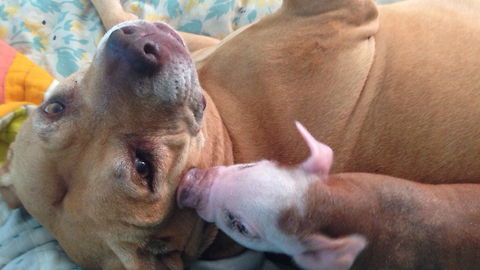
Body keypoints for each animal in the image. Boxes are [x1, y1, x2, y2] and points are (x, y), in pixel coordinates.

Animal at [2, 0, 480, 268]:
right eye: (144, 166)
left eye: (54, 108)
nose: (139, 48)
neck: (231, 137)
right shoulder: (335, 13)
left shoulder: (198, 44)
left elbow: (117, 12)